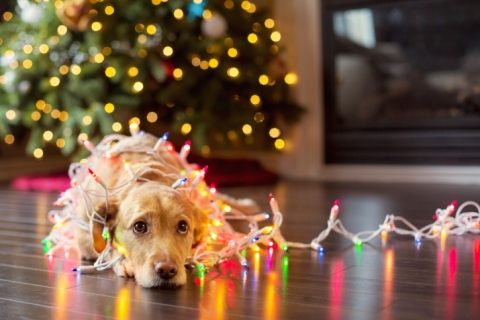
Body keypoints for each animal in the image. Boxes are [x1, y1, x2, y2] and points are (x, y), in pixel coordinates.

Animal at [74, 134, 258, 288]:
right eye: (139, 226)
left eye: (183, 227)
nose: (167, 270)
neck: (148, 177)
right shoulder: (83, 235)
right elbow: (106, 247)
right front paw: (122, 261)